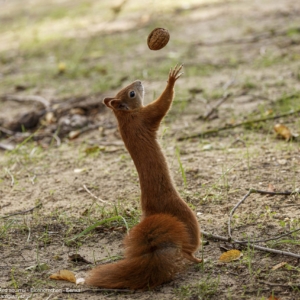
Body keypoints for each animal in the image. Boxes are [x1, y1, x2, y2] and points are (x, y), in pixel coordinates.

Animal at [85, 64, 202, 290]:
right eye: (131, 93)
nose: (139, 81)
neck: (125, 116)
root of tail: (151, 213)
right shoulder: (147, 116)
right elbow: (163, 104)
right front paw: (171, 80)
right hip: (186, 216)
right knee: (187, 248)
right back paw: (195, 257)